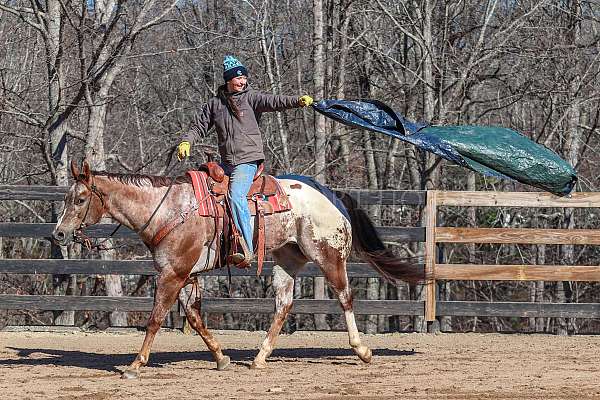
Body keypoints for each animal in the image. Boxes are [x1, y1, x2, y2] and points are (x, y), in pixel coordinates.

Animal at [54, 159, 424, 378]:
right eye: (68, 197)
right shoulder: (187, 275)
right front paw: (221, 357)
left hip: (329, 255)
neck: (168, 209)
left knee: (345, 296)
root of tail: (331, 195)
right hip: (287, 259)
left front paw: (134, 365)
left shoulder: (173, 274)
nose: (58, 233)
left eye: (80, 199)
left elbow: (156, 318)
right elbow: (194, 318)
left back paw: (362, 350)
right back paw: (260, 357)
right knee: (283, 305)